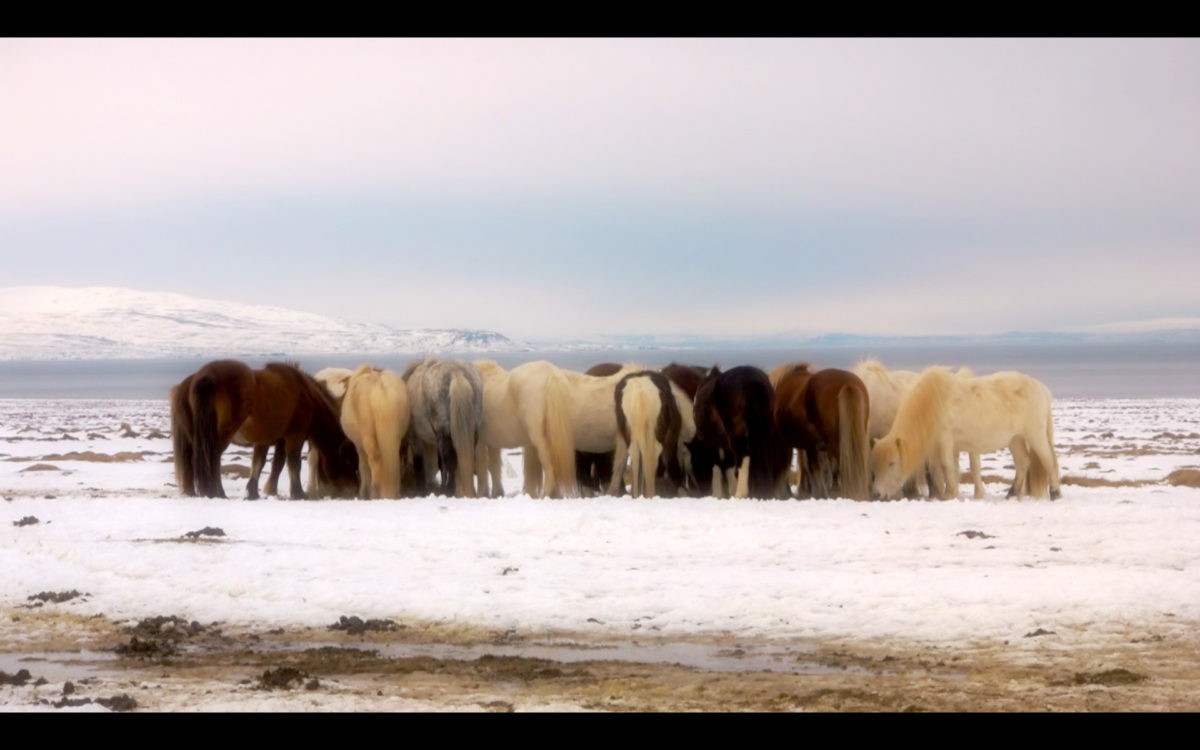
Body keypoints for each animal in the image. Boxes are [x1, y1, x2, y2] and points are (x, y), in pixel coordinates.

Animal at [170, 360, 359, 499]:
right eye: (349, 461)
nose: (354, 491)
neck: (304, 394)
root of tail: (202, 377)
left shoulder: (267, 440)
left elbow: (263, 463)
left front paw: (255, 492)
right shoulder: (294, 437)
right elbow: (292, 463)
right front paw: (297, 493)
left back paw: (192, 492)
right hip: (220, 435)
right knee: (214, 458)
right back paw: (218, 493)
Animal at [340, 365, 411, 499]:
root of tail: (380, 387)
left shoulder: (359, 446)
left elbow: (363, 466)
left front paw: (363, 492)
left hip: (368, 438)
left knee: (374, 459)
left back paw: (374, 491)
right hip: (397, 436)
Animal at [402, 358, 484, 497]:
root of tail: (457, 374)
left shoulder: (417, 439)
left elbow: (420, 463)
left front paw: (422, 491)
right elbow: (440, 464)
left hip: (444, 433)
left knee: (450, 462)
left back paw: (448, 491)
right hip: (472, 432)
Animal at [692, 365, 782, 499]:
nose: (700, 491)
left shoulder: (714, 443)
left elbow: (717, 467)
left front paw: (719, 494)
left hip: (738, 435)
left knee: (743, 457)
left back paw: (741, 493)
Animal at [870, 367, 1061, 501]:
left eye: (892, 463)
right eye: (875, 464)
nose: (877, 493)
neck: (932, 405)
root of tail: (1043, 390)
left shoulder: (945, 441)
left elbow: (946, 466)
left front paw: (949, 494)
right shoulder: (951, 446)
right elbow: (952, 468)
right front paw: (950, 492)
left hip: (1035, 435)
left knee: (1048, 460)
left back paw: (1055, 492)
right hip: (1015, 439)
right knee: (1023, 463)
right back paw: (1012, 493)